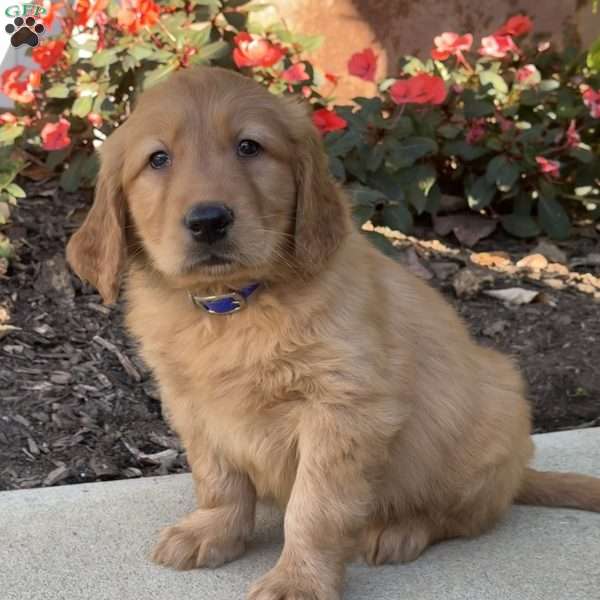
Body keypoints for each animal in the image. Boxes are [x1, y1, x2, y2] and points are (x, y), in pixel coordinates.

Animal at [67, 67, 600, 600]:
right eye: (158, 159)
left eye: (249, 147)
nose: (209, 220)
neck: (233, 307)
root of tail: (519, 473)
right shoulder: (192, 404)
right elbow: (218, 478)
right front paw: (213, 531)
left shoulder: (343, 409)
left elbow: (315, 507)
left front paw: (298, 580)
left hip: (492, 417)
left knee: (464, 515)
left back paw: (401, 528)